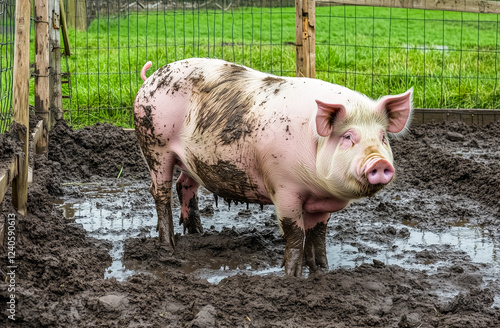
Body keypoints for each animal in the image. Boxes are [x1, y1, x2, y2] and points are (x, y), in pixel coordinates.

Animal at [134, 58, 414, 276]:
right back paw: (169, 246)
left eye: (382, 137)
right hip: (155, 145)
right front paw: (291, 275)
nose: (379, 162)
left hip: (191, 161)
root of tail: (150, 78)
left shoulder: (321, 204)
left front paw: (322, 269)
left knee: (184, 185)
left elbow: (318, 233)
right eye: (347, 137)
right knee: (159, 192)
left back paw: (197, 233)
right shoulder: (284, 188)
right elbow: (295, 233)